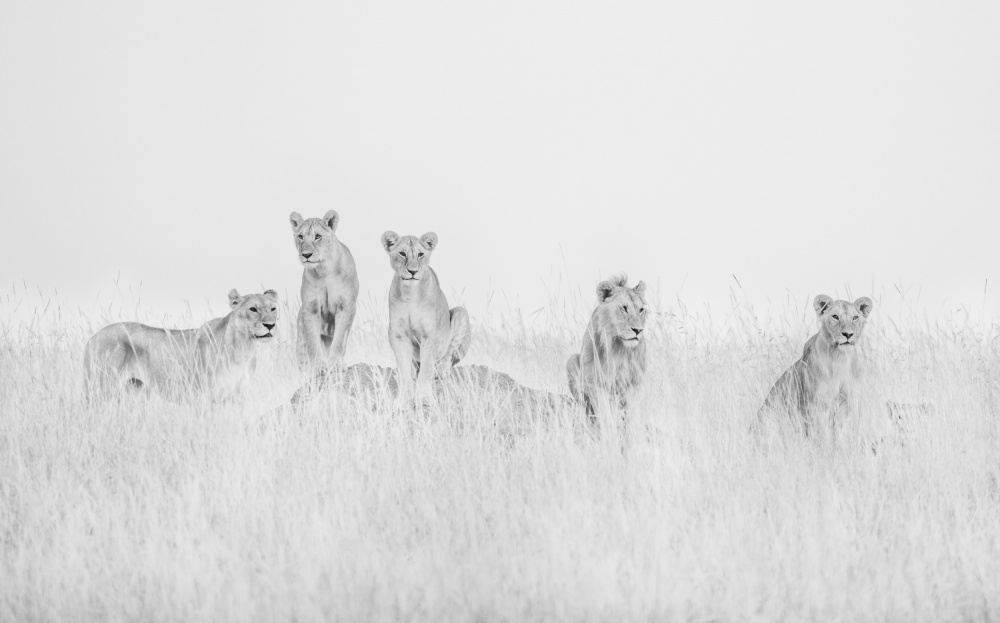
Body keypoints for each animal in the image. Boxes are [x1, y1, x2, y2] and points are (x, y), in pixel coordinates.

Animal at [83, 289, 279, 401]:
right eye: (253, 309)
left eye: (273, 309)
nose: (270, 325)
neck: (243, 347)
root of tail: (92, 338)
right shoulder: (204, 396)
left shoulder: (238, 395)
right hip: (101, 389)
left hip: (134, 389)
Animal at [289, 210, 360, 371]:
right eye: (300, 236)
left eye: (317, 236)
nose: (306, 255)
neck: (324, 270)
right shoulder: (310, 307)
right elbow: (313, 342)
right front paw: (318, 366)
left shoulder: (346, 306)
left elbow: (339, 340)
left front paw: (335, 364)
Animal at [380, 231, 471, 407]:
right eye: (402, 253)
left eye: (420, 254)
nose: (413, 271)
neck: (410, 294)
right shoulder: (397, 334)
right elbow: (404, 369)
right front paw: (404, 400)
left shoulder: (430, 334)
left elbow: (427, 369)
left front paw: (423, 399)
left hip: (461, 312)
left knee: (447, 360)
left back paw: (441, 370)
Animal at [566, 274, 648, 418]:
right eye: (624, 308)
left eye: (641, 310)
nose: (638, 330)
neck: (618, 347)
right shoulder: (594, 380)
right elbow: (602, 405)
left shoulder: (635, 382)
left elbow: (632, 410)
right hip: (571, 360)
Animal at [757, 294, 875, 436]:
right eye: (835, 316)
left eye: (855, 317)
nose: (848, 334)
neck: (840, 359)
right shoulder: (816, 406)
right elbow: (821, 434)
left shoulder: (846, 404)